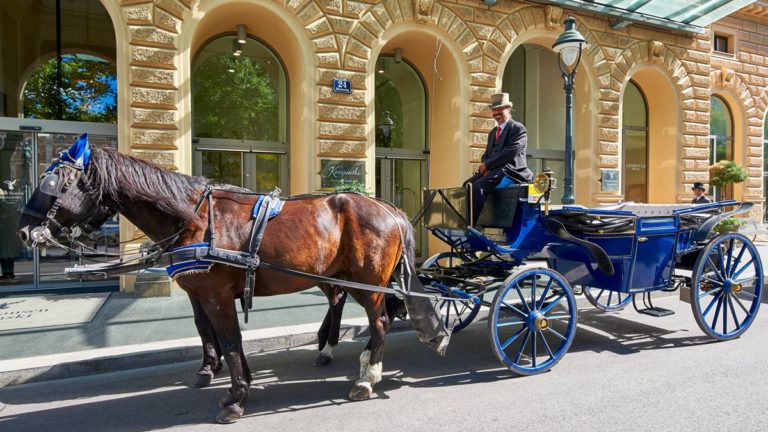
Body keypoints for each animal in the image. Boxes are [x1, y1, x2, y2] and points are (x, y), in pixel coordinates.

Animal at [16, 141, 444, 422]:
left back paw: (367, 377)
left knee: (380, 322)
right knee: (346, 305)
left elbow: (230, 339)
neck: (193, 218)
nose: (23, 231)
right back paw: (335, 353)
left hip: (367, 281)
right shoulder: (199, 292)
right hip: (340, 276)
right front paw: (216, 372)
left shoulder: (218, 295)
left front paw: (236, 396)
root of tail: (388, 207)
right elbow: (207, 331)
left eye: (55, 183)